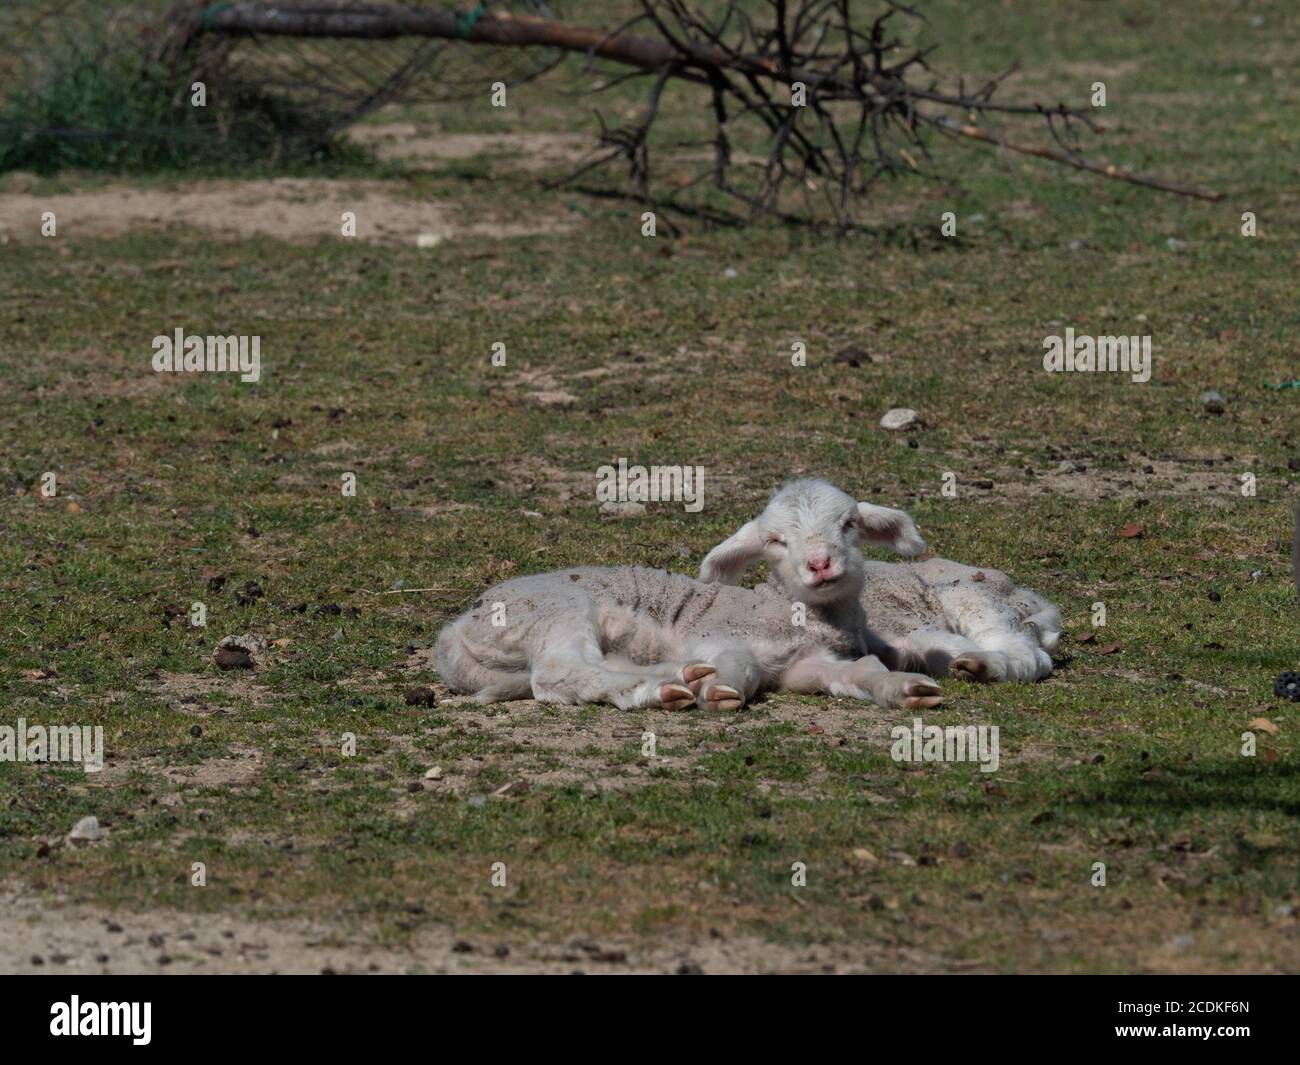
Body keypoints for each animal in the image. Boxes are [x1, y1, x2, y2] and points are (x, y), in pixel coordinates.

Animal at [435, 479, 944, 712]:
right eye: (776, 540)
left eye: (849, 524)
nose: (820, 564)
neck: (789, 611)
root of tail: (453, 632)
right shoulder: (722, 636)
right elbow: (741, 665)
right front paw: (721, 689)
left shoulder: (807, 667)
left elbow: (862, 670)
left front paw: (906, 687)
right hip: (555, 611)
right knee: (558, 673)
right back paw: (664, 682)